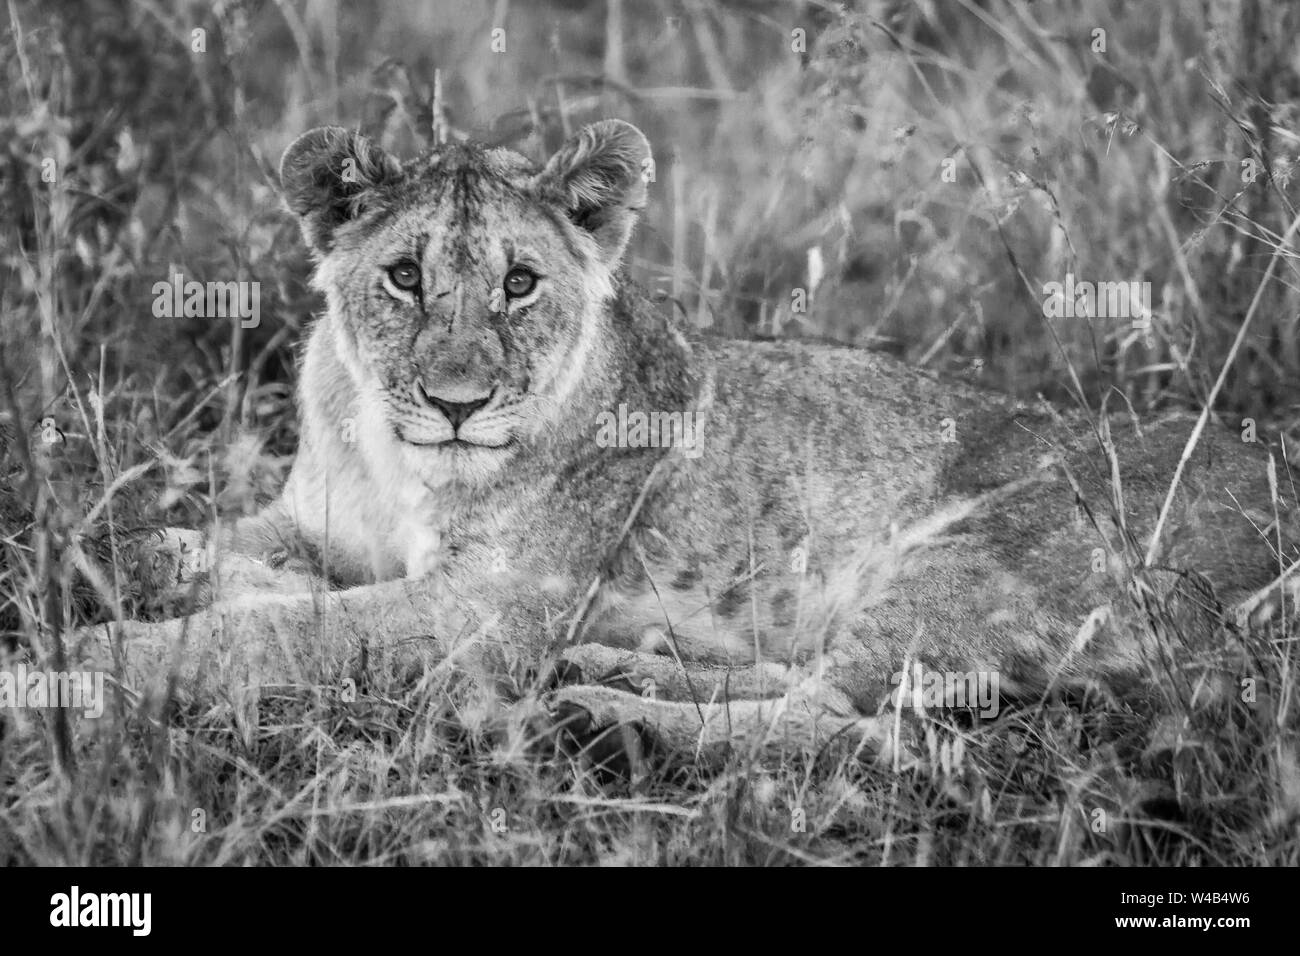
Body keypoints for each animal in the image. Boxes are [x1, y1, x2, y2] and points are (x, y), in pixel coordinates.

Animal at [65, 121, 1294, 764]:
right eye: (404, 276)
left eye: (520, 283)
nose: (459, 401)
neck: (391, 452)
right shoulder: (313, 524)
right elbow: (200, 555)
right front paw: (128, 565)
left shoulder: (491, 608)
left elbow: (288, 634)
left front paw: (96, 661)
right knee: (811, 683)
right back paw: (615, 666)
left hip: (977, 553)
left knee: (837, 723)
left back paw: (607, 714)